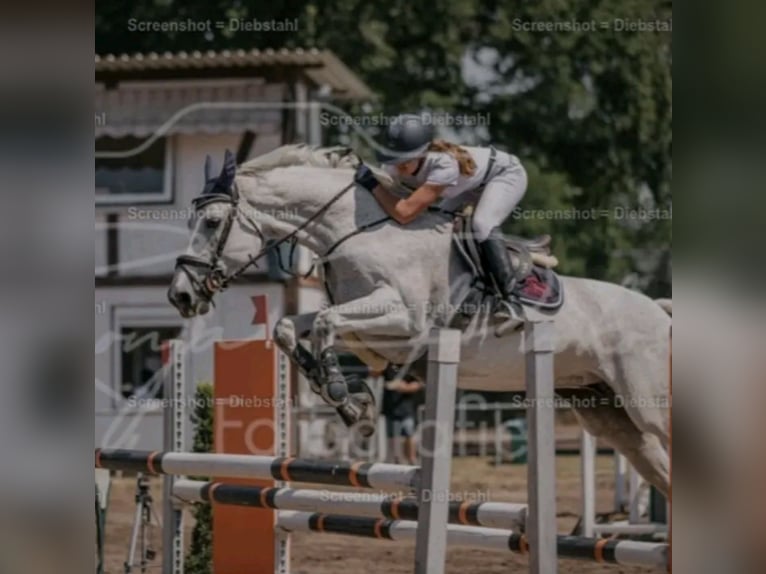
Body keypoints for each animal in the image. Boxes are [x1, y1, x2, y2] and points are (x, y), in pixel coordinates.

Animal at [168, 146, 672, 498]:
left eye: (212, 222)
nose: (180, 294)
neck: (355, 229)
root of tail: (658, 312)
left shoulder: (405, 321)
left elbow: (327, 322)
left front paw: (345, 396)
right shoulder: (370, 329)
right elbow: (291, 327)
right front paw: (352, 402)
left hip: (646, 401)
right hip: (606, 412)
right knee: (660, 469)